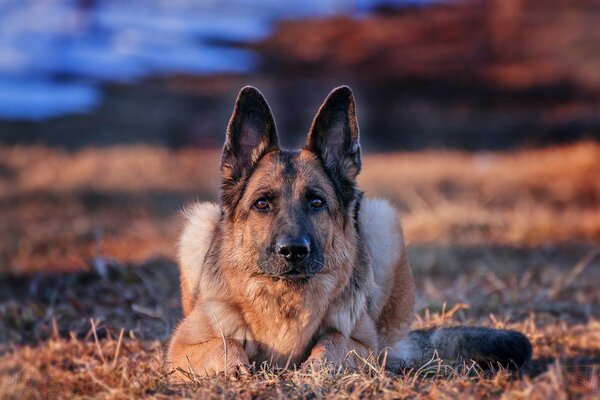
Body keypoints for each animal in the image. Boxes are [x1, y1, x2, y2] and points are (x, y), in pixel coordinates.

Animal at [166, 86, 532, 380]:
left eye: (316, 202)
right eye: (262, 203)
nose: (293, 251)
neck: (286, 298)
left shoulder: (361, 342)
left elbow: (334, 341)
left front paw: (317, 367)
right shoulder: (181, 346)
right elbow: (224, 345)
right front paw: (235, 368)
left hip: (382, 220)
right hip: (198, 222)